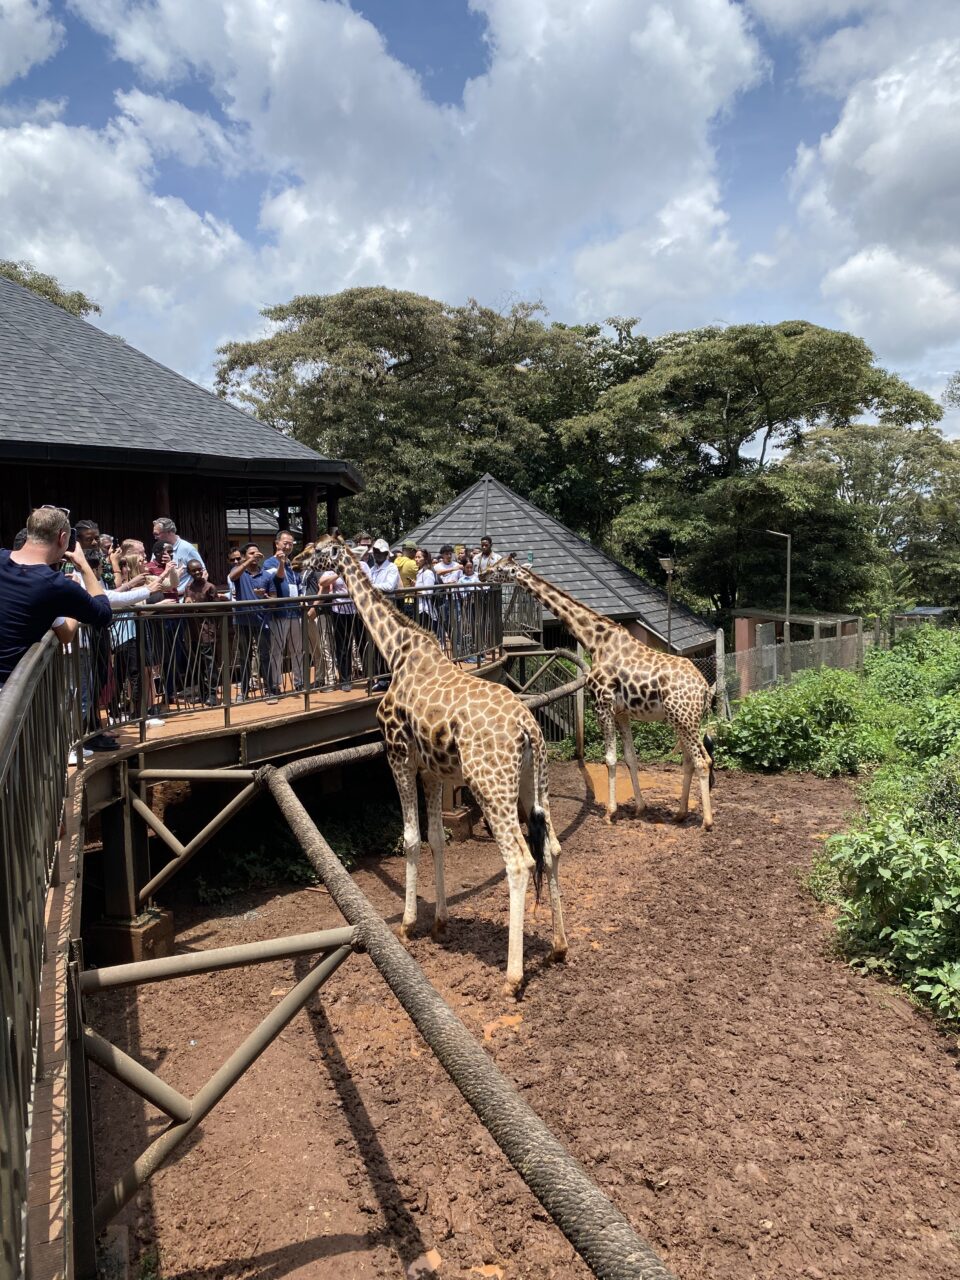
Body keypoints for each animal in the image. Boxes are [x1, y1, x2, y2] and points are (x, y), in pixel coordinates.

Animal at [304, 535, 568, 993]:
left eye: (319, 551)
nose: (300, 561)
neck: (398, 651)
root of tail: (528, 728)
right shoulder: (432, 770)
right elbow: (437, 839)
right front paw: (441, 924)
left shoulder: (398, 754)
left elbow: (411, 838)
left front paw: (409, 925)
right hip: (534, 784)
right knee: (550, 848)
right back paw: (558, 946)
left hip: (491, 785)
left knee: (519, 860)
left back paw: (513, 976)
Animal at [481, 560, 716, 829]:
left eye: (499, 567)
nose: (482, 574)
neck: (594, 640)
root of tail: (704, 688)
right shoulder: (622, 712)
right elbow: (630, 758)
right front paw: (639, 808)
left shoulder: (602, 705)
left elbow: (610, 759)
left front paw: (610, 813)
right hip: (682, 720)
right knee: (689, 760)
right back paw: (680, 813)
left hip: (684, 718)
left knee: (702, 760)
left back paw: (707, 821)